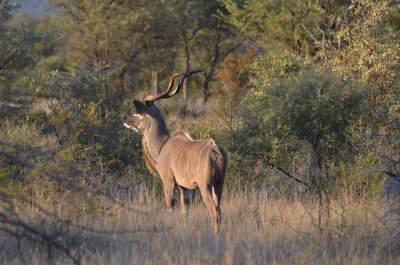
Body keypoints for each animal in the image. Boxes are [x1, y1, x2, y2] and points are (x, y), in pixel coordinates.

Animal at [122, 71, 228, 232]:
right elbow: (185, 211)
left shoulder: (169, 182)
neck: (163, 145)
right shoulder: (185, 188)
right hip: (219, 185)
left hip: (205, 186)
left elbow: (169, 207)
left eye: (140, 114)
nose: (126, 121)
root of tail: (216, 150)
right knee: (219, 210)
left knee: (214, 212)